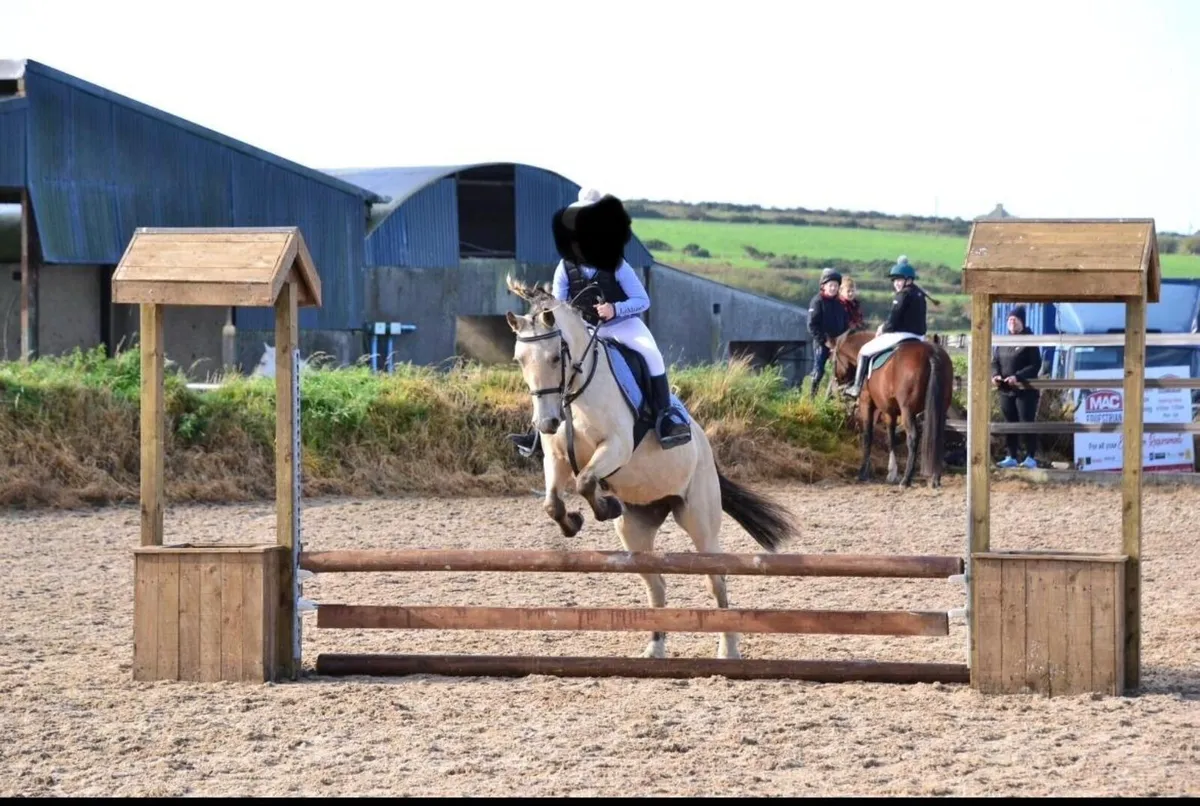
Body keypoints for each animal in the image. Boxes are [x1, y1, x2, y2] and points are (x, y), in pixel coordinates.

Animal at [503, 275, 798, 660]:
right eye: (519, 360)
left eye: (555, 357)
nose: (546, 423)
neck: (575, 395)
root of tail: (706, 451)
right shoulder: (556, 458)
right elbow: (553, 502)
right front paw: (575, 522)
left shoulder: (617, 447)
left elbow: (585, 481)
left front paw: (603, 507)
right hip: (638, 530)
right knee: (656, 584)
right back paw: (655, 647)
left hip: (700, 521)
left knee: (716, 581)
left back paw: (728, 650)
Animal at [827, 329, 953, 488]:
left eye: (832, 360)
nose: (836, 383)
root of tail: (931, 352)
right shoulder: (889, 410)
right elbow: (891, 437)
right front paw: (892, 473)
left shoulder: (866, 402)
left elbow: (868, 435)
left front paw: (863, 473)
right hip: (939, 408)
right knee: (938, 438)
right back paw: (935, 478)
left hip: (907, 410)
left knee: (912, 437)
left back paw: (906, 480)